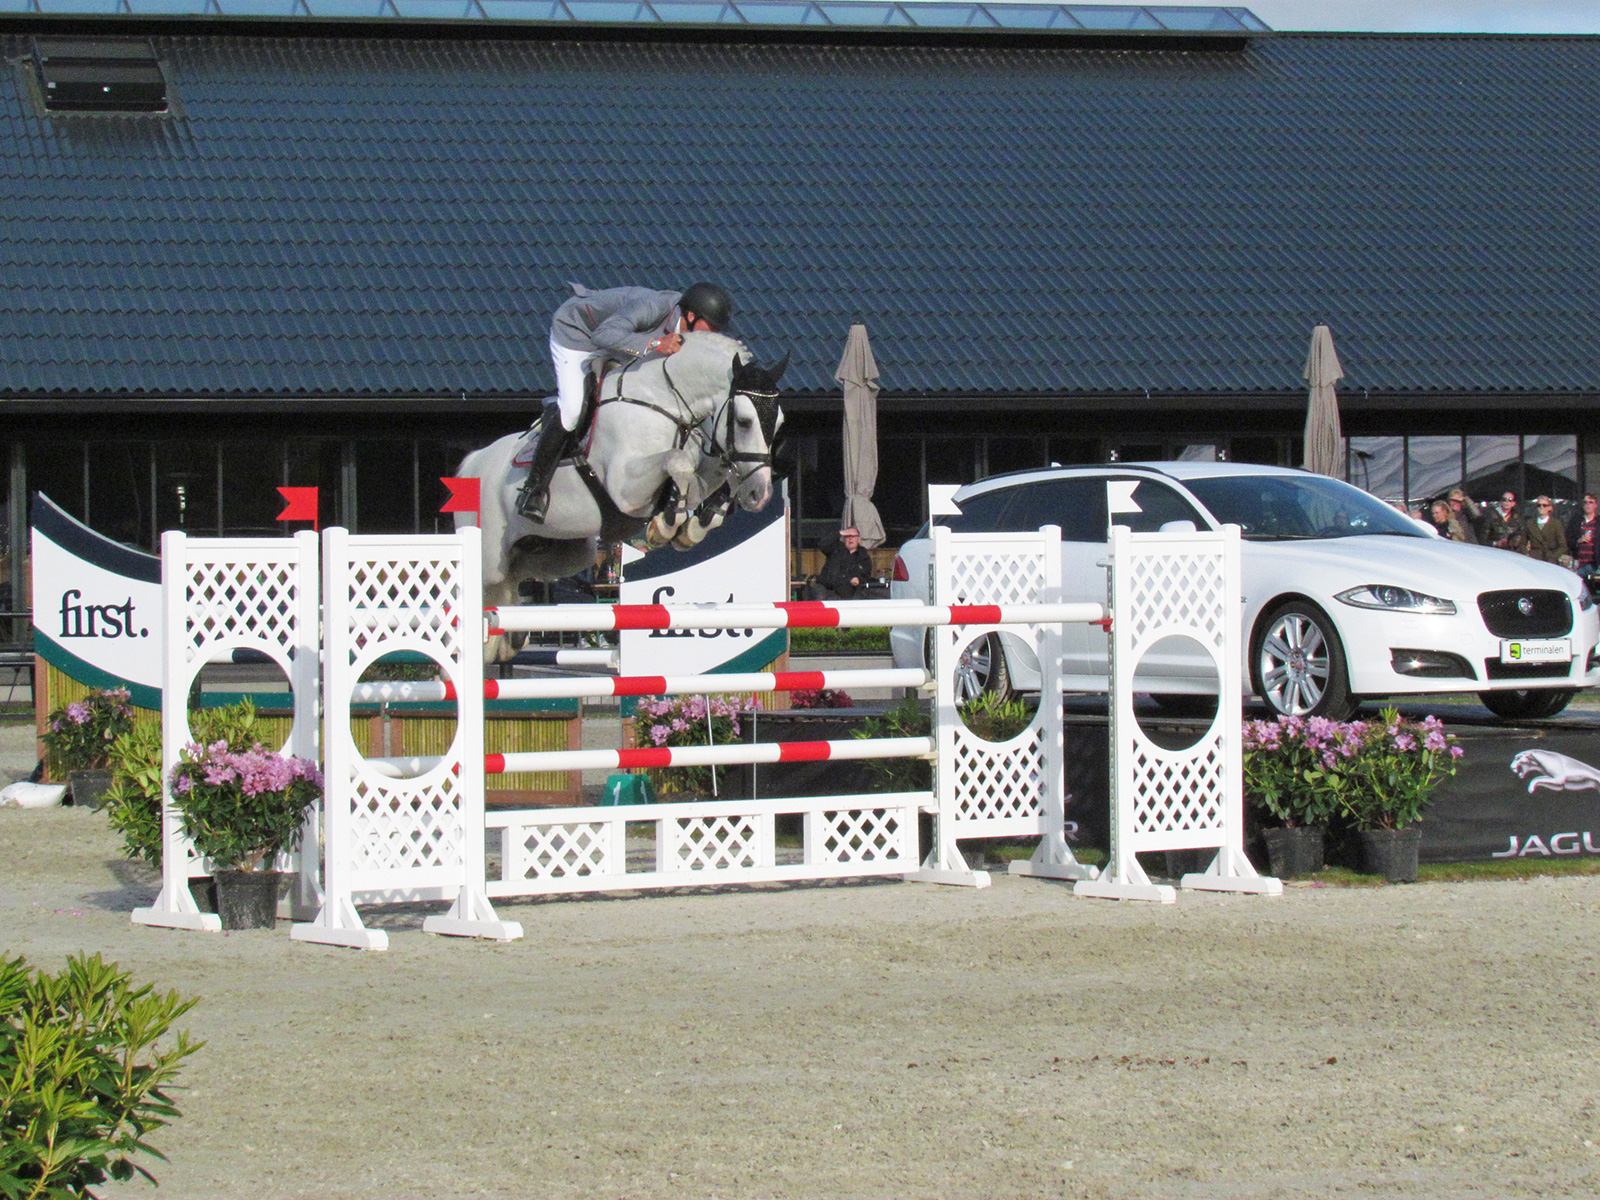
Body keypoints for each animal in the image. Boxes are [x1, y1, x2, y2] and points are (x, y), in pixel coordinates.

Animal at [455, 331, 786, 659]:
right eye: (744, 421)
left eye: (779, 422)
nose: (760, 493)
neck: (664, 402)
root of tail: (471, 463)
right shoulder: (625, 489)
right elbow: (678, 460)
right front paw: (666, 525)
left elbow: (712, 473)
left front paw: (692, 525)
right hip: (489, 559)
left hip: (566, 553)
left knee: (516, 575)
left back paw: (510, 637)